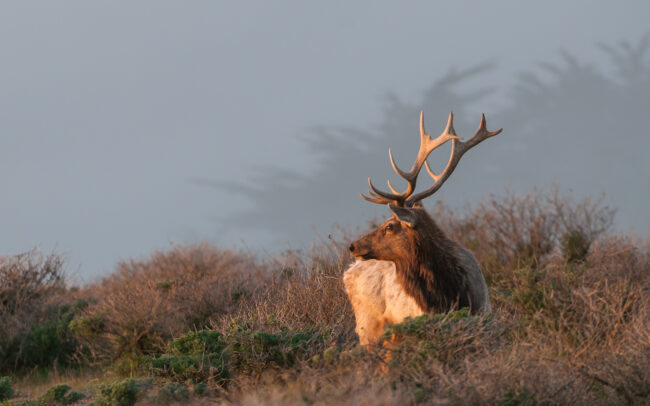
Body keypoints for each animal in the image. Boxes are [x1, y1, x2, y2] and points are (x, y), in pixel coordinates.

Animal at [343, 111, 501, 347]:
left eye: (389, 226)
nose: (353, 246)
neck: (450, 293)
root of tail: (347, 273)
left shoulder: (484, 311)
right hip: (367, 326)